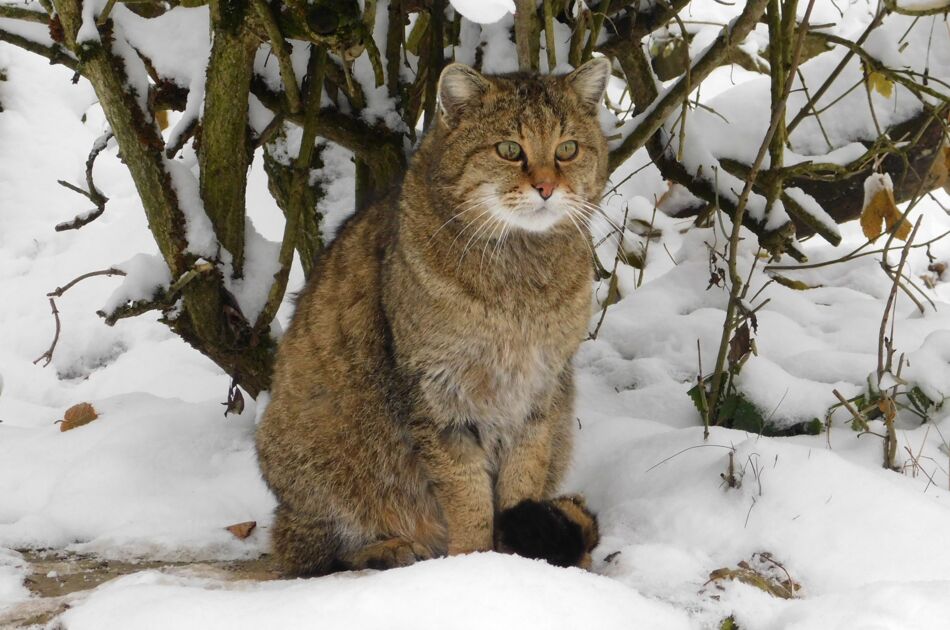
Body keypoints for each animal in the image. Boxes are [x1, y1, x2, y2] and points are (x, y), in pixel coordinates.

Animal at [255, 59, 608, 576]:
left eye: (568, 150)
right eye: (509, 150)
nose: (546, 187)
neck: (521, 279)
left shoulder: (538, 397)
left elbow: (521, 483)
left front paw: (519, 567)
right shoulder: (439, 397)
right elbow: (467, 497)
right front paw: (474, 565)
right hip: (314, 464)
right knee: (307, 553)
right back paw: (386, 550)